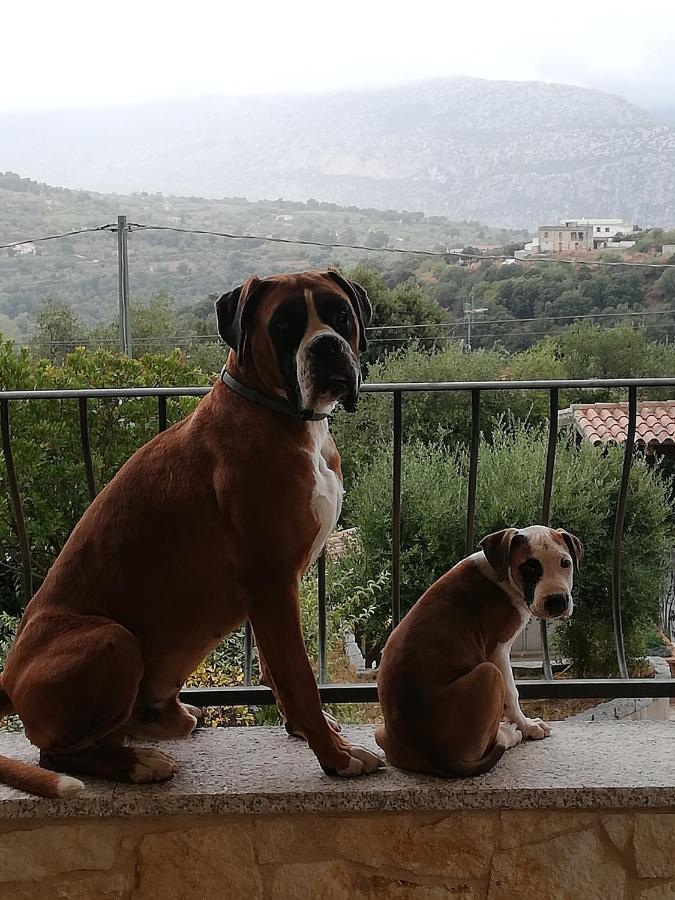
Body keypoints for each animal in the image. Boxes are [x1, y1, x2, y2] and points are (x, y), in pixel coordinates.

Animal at [0, 270, 382, 800]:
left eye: (340, 315)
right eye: (284, 325)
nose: (326, 345)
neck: (280, 415)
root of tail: (7, 677)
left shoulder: (270, 592)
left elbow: (278, 672)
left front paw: (309, 732)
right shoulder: (271, 583)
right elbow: (301, 679)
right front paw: (336, 758)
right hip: (111, 639)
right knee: (54, 753)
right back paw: (138, 764)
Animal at [378, 524, 584, 776]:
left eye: (565, 563)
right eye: (529, 567)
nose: (557, 601)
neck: (502, 572)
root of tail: (436, 756)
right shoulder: (498, 651)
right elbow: (512, 694)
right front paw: (528, 727)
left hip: (381, 733)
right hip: (489, 673)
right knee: (488, 744)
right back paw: (509, 734)